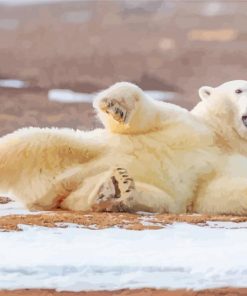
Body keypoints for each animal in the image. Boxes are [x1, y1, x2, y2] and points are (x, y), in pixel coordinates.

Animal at [0, 82, 247, 214]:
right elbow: (147, 114)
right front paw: (115, 105)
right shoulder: (188, 124)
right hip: (70, 149)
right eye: (238, 90)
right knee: (27, 144)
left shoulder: (222, 165)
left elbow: (219, 192)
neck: (223, 137)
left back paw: (113, 190)